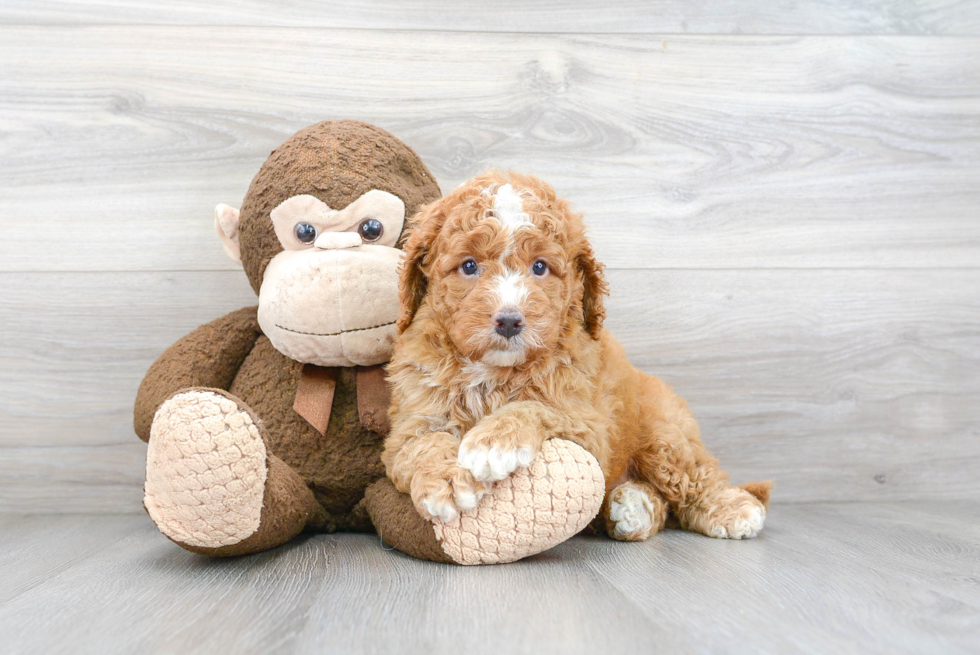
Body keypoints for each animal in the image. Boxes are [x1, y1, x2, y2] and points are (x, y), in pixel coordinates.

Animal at [384, 170, 772, 544]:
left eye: (540, 267)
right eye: (468, 266)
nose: (509, 320)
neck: (496, 372)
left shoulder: (589, 425)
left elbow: (537, 407)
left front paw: (494, 442)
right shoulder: (411, 418)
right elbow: (420, 443)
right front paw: (446, 482)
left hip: (663, 431)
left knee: (694, 475)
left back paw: (729, 509)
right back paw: (634, 508)